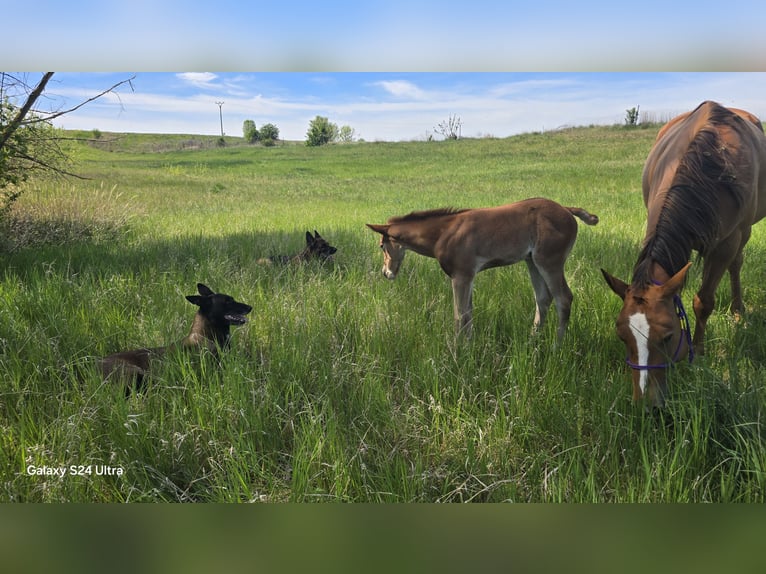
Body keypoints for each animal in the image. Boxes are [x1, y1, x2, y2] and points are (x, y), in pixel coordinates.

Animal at [367, 198, 599, 341]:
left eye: (381, 246)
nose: (386, 273)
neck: (443, 234)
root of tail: (567, 210)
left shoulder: (461, 275)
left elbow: (459, 315)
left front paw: (457, 352)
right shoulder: (468, 277)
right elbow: (468, 314)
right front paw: (470, 347)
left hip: (550, 261)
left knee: (563, 298)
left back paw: (556, 347)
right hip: (532, 262)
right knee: (543, 299)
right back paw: (532, 341)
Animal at [601, 101, 766, 408]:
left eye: (668, 336)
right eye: (622, 337)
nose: (646, 405)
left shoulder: (725, 244)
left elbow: (704, 301)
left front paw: (698, 355)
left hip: (745, 232)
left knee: (736, 265)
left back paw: (738, 310)